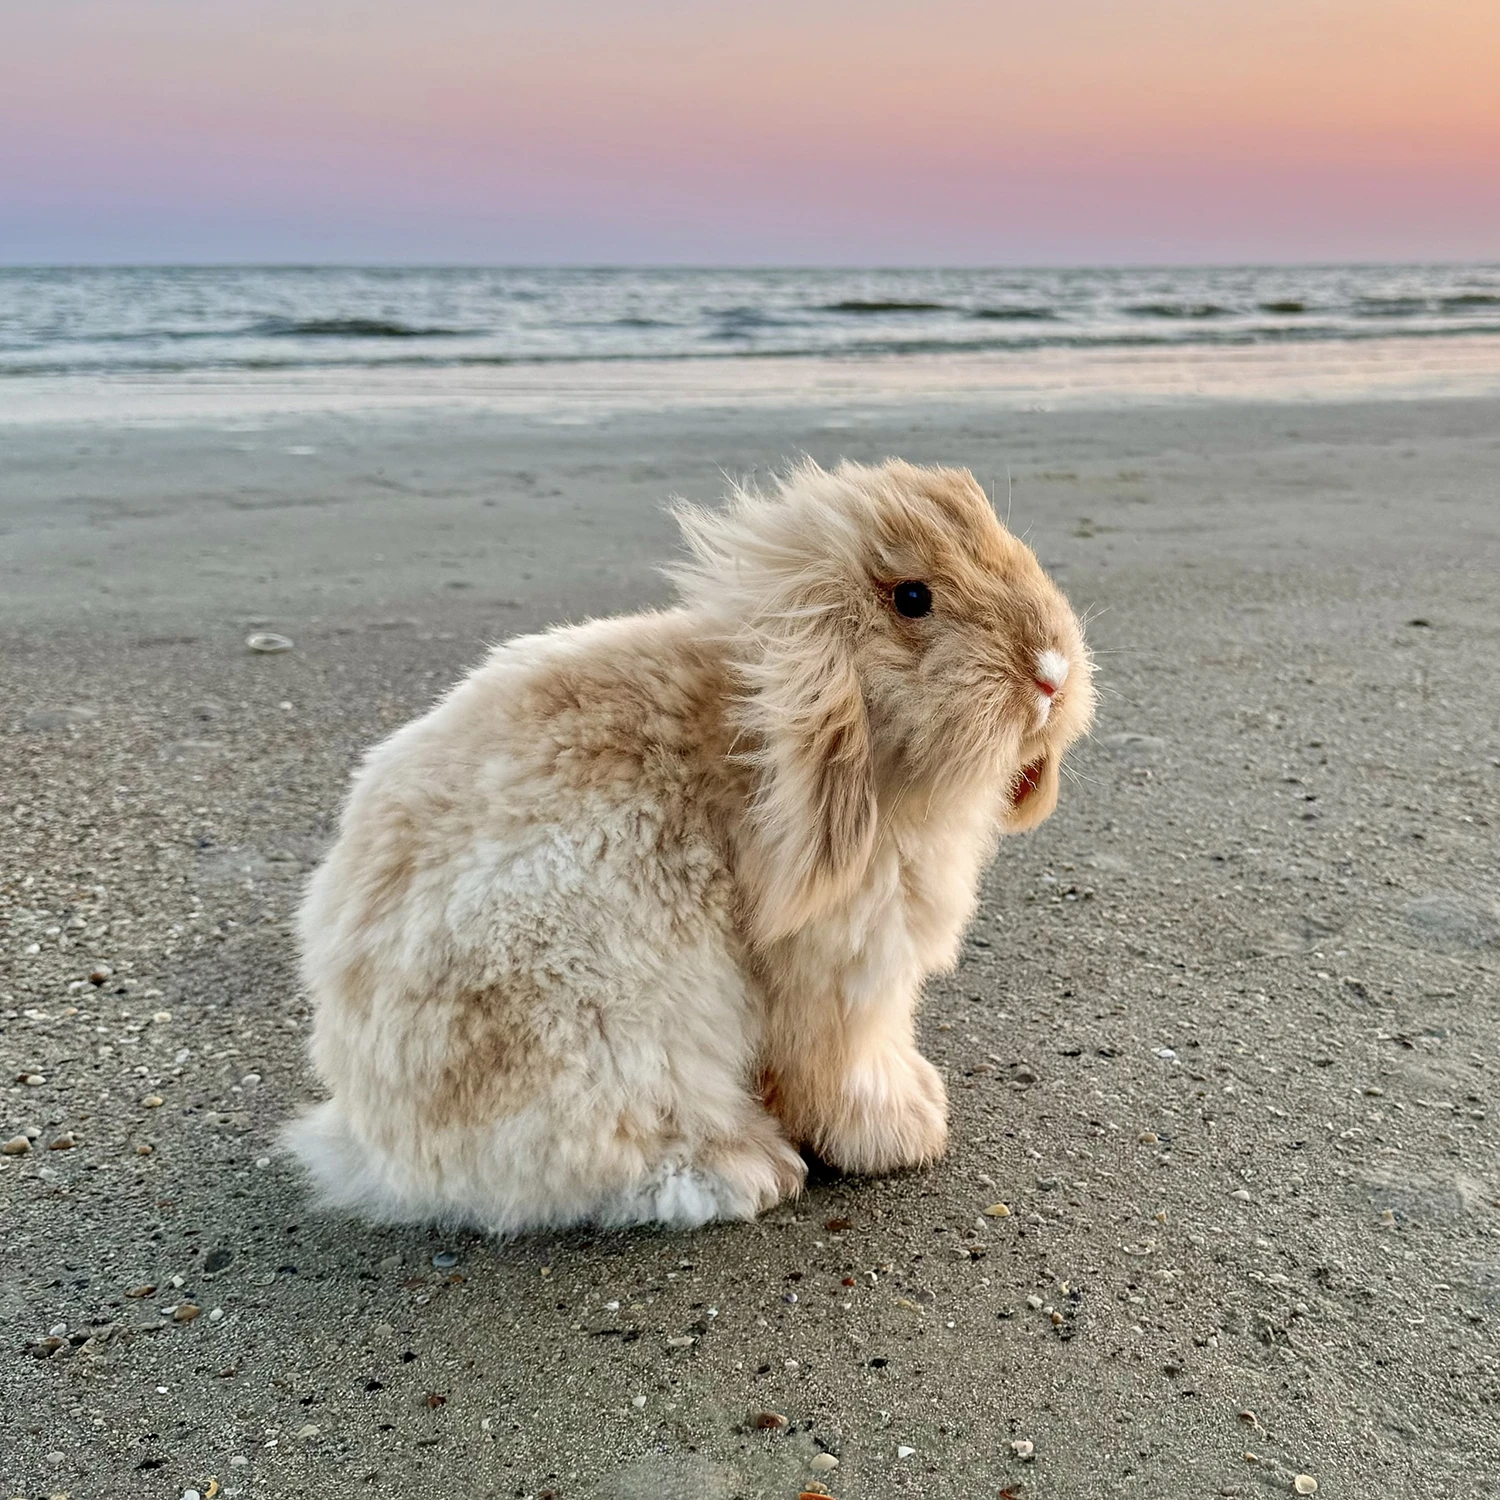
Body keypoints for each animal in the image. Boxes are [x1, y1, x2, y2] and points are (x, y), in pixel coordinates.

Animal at [286, 456, 1098, 1230]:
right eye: (913, 599)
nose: (1051, 672)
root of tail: (373, 1141)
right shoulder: (839, 978)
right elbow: (841, 1068)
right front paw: (901, 1132)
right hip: (609, 1020)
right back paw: (747, 1169)